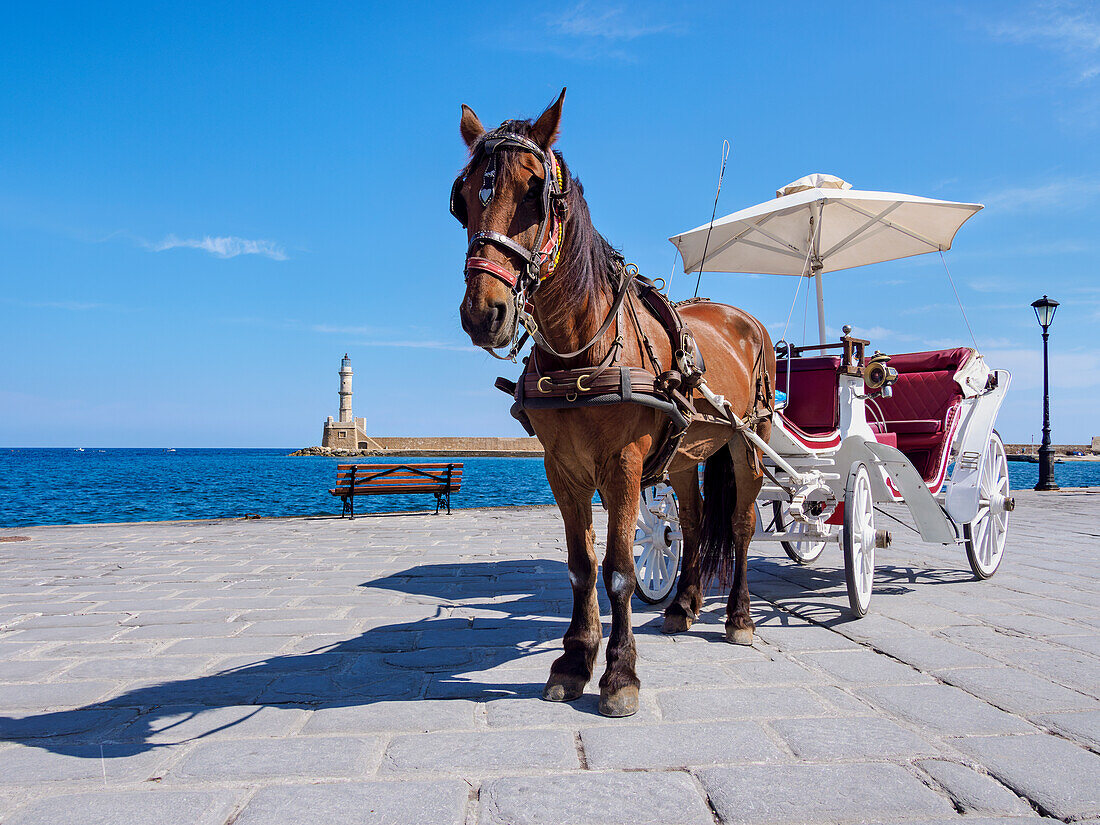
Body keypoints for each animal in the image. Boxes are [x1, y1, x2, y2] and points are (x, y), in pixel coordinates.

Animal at [448, 87, 774, 712]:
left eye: (537, 192)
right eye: (461, 200)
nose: (483, 313)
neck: (582, 349)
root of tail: (743, 318)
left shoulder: (622, 464)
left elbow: (621, 568)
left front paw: (620, 672)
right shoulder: (562, 467)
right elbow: (581, 564)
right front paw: (575, 661)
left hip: (750, 440)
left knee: (742, 524)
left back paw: (739, 618)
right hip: (684, 454)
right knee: (695, 521)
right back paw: (681, 606)